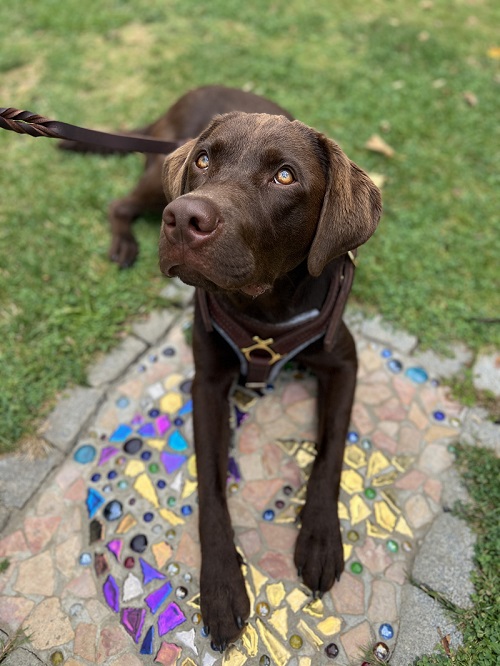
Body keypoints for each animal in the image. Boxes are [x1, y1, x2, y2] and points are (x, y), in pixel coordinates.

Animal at [67, 84, 378, 648]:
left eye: (285, 176)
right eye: (204, 160)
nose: (185, 218)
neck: (266, 309)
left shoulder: (345, 362)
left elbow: (330, 453)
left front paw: (321, 537)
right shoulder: (207, 384)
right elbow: (211, 490)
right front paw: (221, 586)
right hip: (154, 184)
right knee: (120, 204)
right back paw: (124, 243)